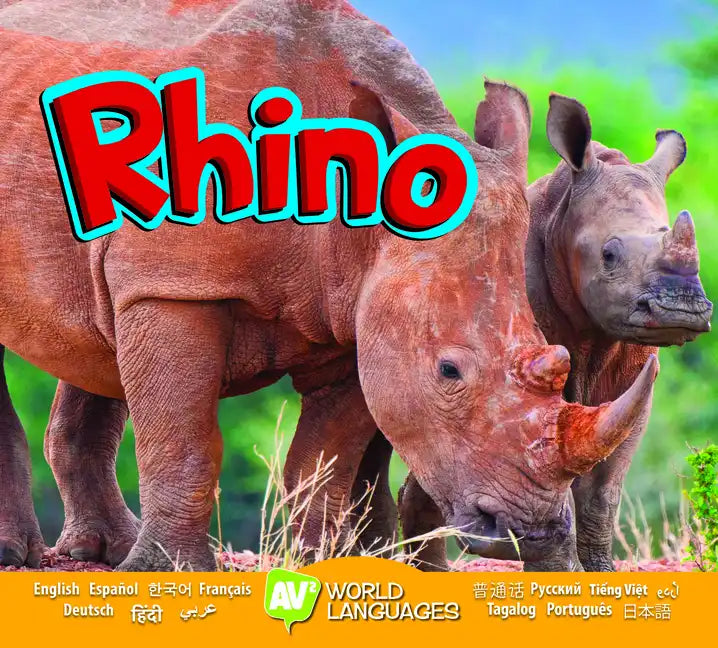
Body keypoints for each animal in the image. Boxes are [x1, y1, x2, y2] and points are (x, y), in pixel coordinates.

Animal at [0, 0, 656, 571]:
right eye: (448, 371)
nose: (531, 530)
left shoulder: (354, 311)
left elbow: (323, 460)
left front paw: (322, 564)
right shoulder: (175, 285)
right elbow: (185, 442)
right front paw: (169, 572)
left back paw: (100, 554)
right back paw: (33, 558)